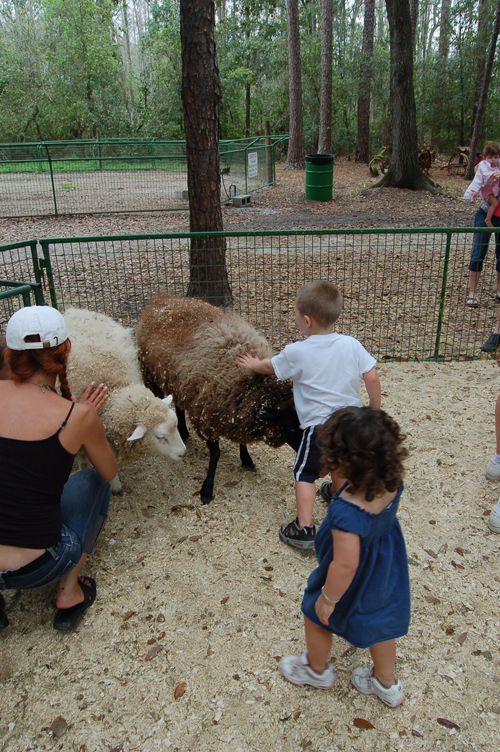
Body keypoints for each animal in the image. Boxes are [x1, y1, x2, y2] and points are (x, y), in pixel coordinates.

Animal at [62, 306, 186, 494]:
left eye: (176, 425)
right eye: (160, 437)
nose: (183, 453)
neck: (112, 389)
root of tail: (76, 310)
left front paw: (114, 483)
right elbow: (85, 458)